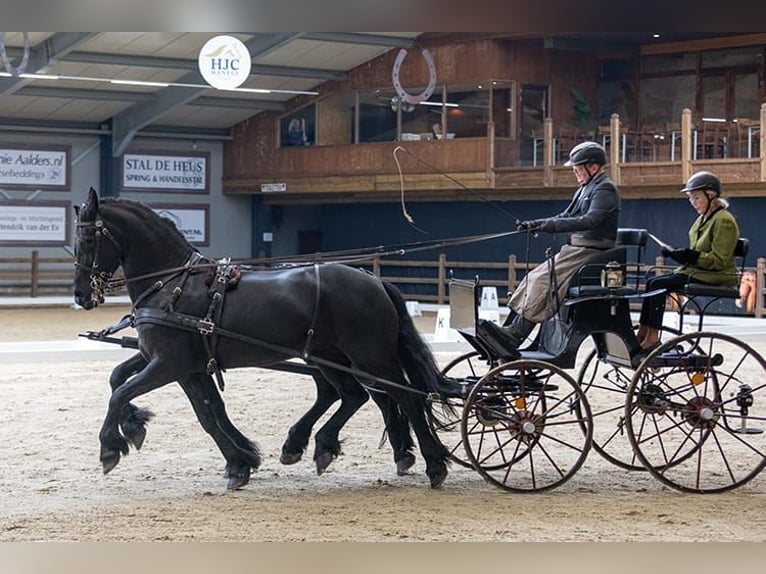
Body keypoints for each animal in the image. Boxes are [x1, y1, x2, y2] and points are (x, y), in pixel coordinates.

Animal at [73, 187, 449, 489]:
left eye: (88, 240)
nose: (81, 296)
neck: (174, 283)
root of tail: (374, 280)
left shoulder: (169, 363)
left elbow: (122, 393)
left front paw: (111, 446)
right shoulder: (182, 364)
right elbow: (203, 410)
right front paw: (240, 460)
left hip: (371, 356)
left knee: (404, 397)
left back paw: (433, 464)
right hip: (331, 356)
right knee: (354, 395)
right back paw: (319, 445)